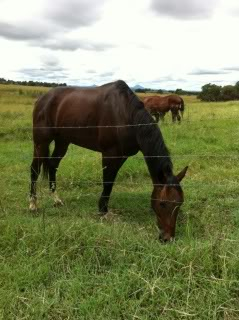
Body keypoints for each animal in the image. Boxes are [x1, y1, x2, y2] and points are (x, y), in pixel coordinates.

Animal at [29, 80, 188, 242]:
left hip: (62, 141)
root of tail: (43, 98)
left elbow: (110, 183)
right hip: (41, 142)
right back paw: (33, 204)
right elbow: (107, 182)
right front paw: (103, 211)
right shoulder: (109, 155)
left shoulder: (121, 157)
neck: (126, 114)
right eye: (162, 203)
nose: (168, 238)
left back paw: (56, 199)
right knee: (34, 169)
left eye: (180, 202)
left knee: (53, 166)